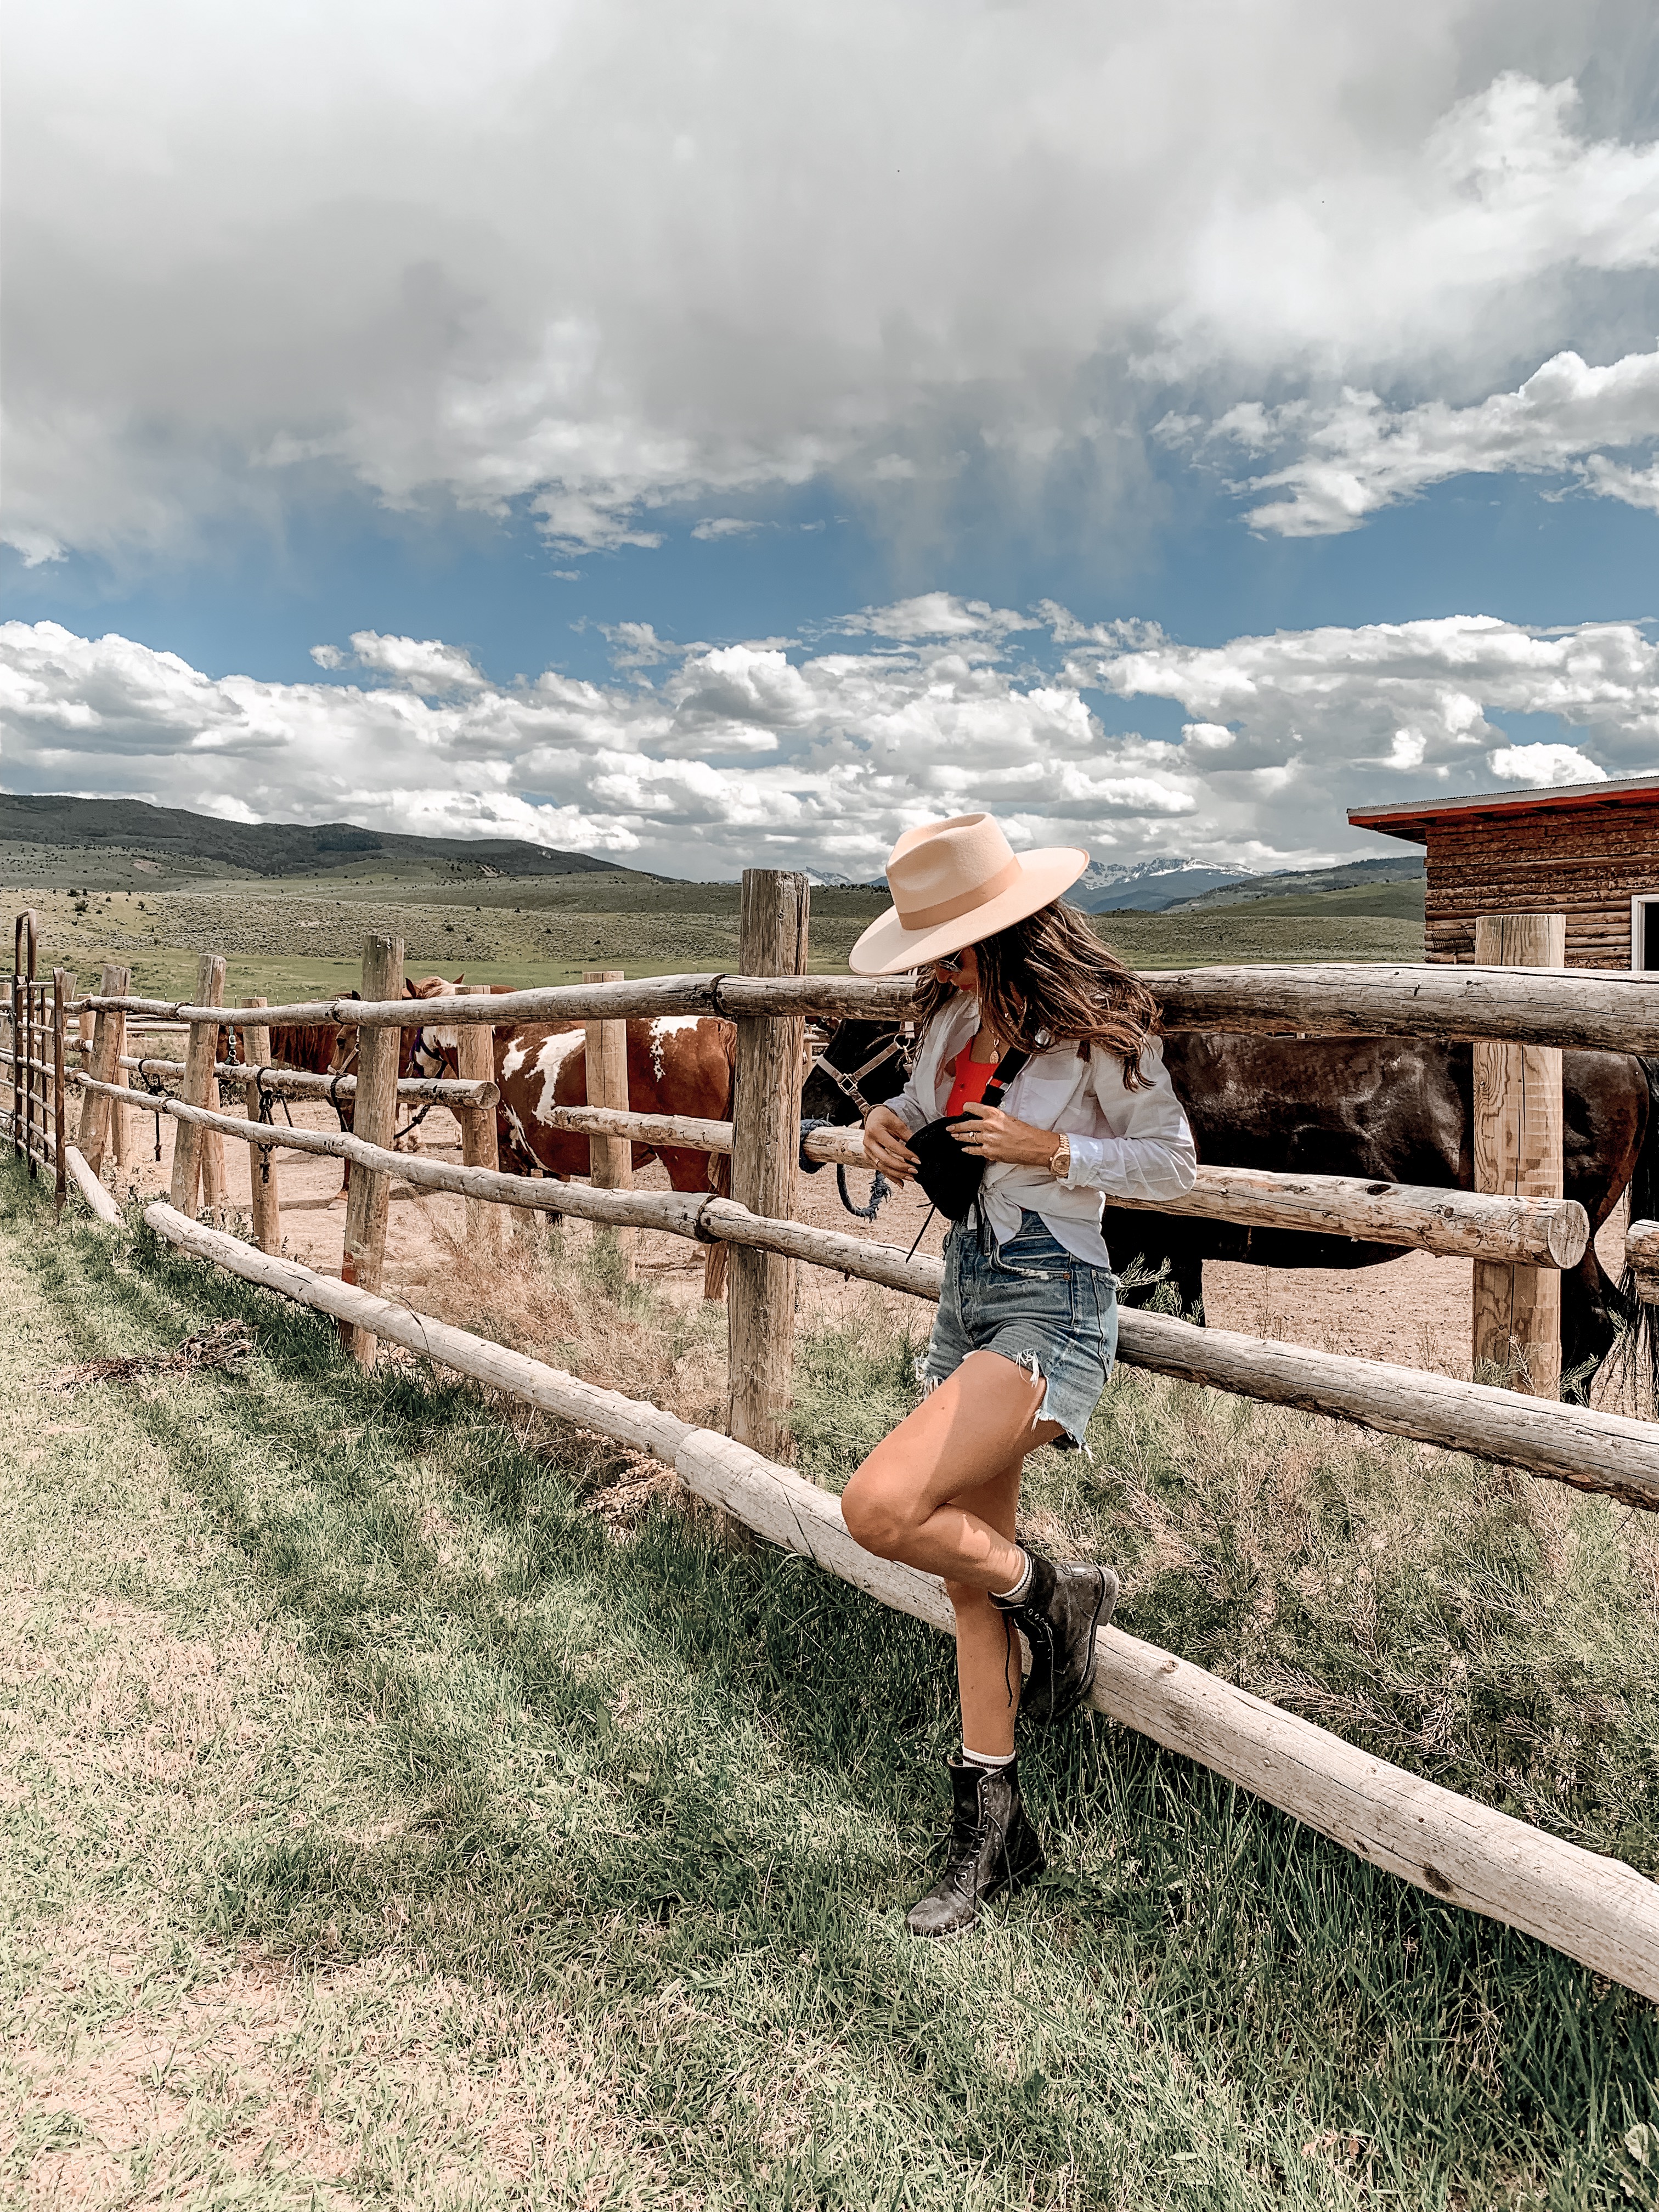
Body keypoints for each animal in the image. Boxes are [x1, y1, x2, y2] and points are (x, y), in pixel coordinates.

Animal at [800, 1013, 1659, 1389]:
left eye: (862, 1032)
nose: (809, 1102)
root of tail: (1624, 1056)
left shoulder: (1145, 1246)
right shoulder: (1177, 1252)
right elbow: (1188, 1329)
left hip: (1570, 1240)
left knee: (1591, 1330)